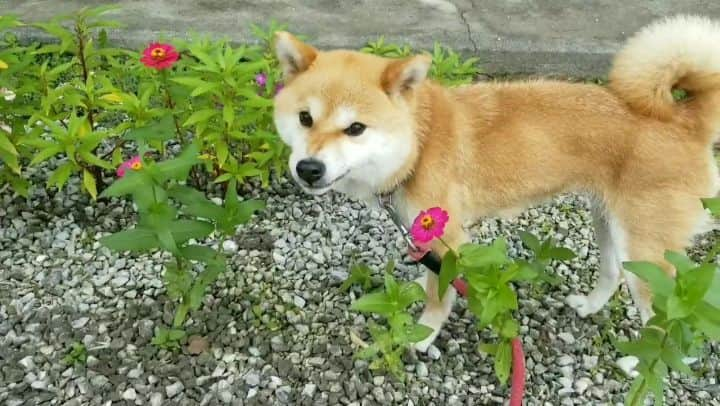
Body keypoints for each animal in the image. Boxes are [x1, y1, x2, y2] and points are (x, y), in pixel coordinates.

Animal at [272, 14, 720, 354]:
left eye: (356, 129)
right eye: (305, 118)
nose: (309, 168)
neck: (420, 143)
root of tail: (686, 120)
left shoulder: (449, 238)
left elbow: (438, 299)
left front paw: (421, 337)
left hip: (646, 254)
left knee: (662, 319)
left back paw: (635, 365)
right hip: (610, 224)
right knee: (611, 275)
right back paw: (589, 307)